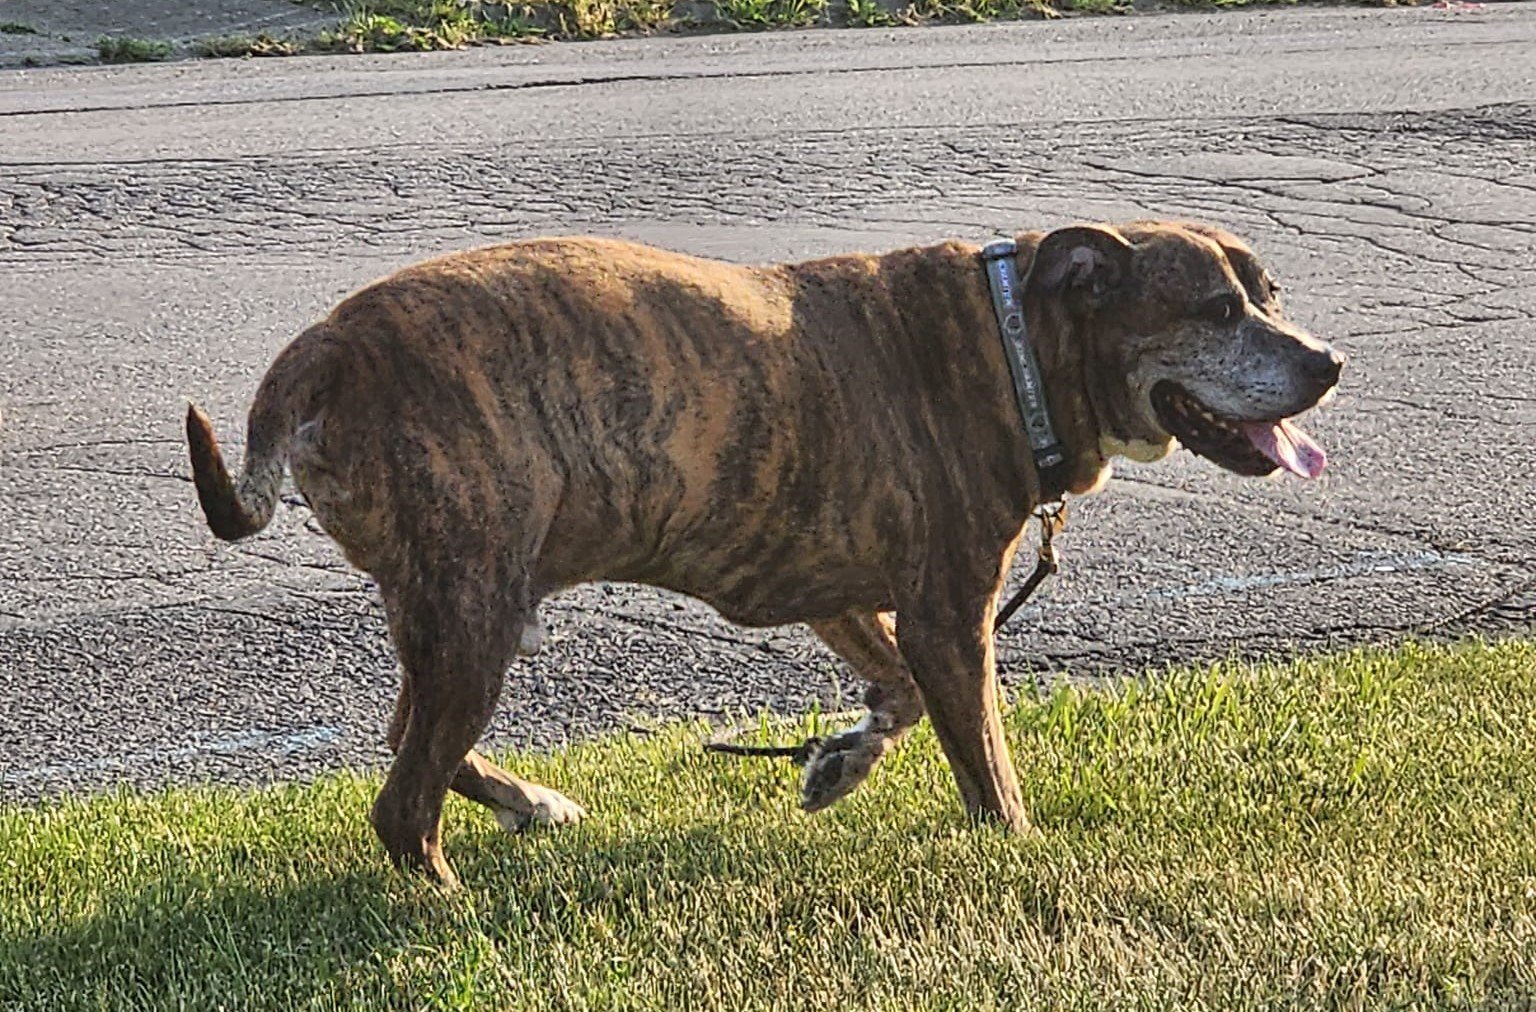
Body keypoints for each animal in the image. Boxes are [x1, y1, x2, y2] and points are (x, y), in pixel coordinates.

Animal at [188, 221, 1345, 884]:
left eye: (1270, 295)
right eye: (1215, 308)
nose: (1327, 362)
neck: (1014, 339)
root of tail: (320, 350)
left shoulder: (836, 590)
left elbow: (899, 695)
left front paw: (842, 755)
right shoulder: (949, 616)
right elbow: (988, 765)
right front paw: (1017, 851)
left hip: (447, 606)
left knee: (406, 738)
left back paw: (528, 802)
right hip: (473, 609)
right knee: (402, 802)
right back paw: (448, 896)